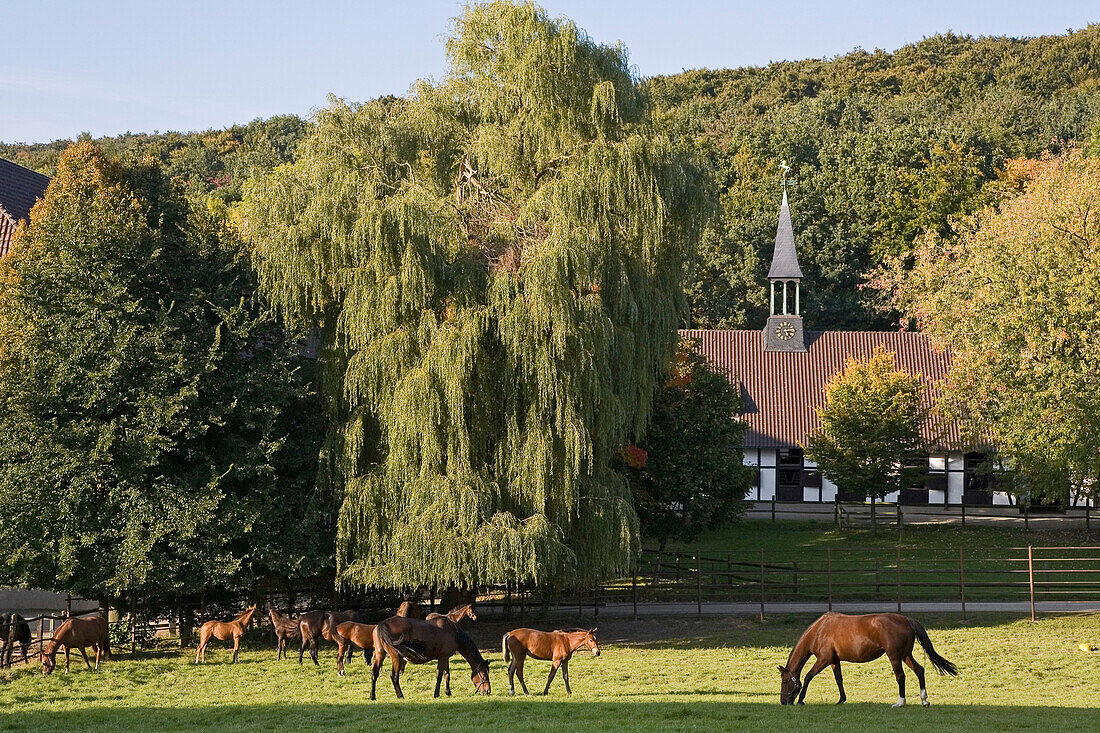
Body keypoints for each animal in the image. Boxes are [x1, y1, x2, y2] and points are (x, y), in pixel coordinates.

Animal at [778, 607, 959, 704]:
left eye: (785, 681)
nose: (783, 702)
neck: (819, 630)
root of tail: (907, 620)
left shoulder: (824, 659)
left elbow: (808, 676)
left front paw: (801, 700)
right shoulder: (834, 661)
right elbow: (839, 679)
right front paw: (841, 699)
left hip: (895, 657)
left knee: (901, 676)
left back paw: (900, 702)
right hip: (905, 655)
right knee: (919, 670)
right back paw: (924, 700)